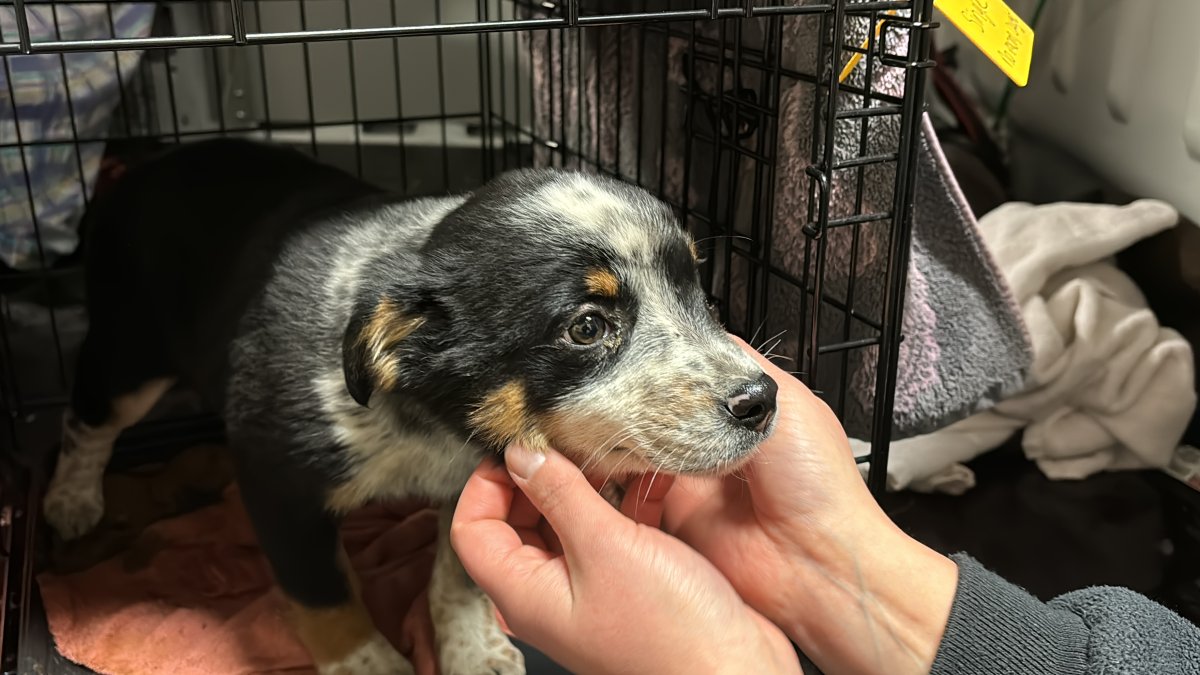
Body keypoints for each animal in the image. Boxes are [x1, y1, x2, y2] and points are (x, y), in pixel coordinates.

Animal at [42, 138, 777, 672]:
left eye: (700, 290)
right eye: (588, 326)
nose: (762, 399)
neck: (426, 426)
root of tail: (139, 168)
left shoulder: (470, 480)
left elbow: (457, 573)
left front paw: (473, 651)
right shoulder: (276, 482)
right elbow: (327, 597)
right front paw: (371, 665)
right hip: (128, 350)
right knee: (85, 418)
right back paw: (70, 499)